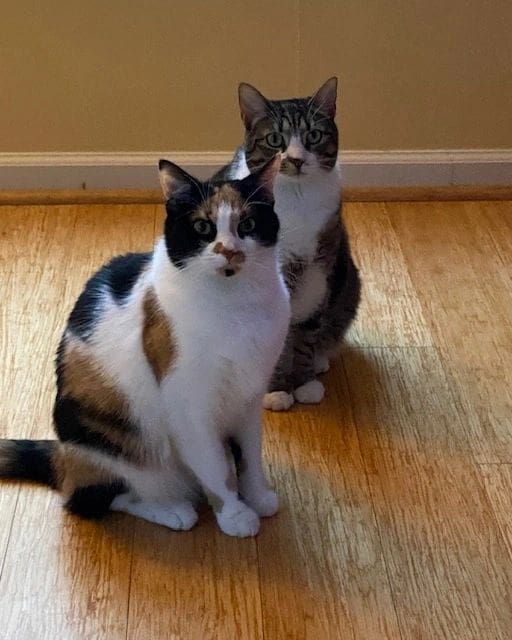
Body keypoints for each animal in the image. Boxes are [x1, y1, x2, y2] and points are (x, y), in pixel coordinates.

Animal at [0, 158, 288, 536]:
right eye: (203, 227)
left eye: (248, 224)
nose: (230, 250)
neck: (236, 306)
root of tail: (61, 456)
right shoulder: (189, 406)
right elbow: (216, 466)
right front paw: (234, 513)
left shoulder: (249, 395)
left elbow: (250, 453)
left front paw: (257, 496)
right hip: (107, 442)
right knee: (95, 500)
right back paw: (173, 510)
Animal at [216, 77, 360, 412]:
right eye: (274, 139)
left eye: (313, 136)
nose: (295, 159)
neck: (295, 199)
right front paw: (278, 389)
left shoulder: (321, 263)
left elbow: (308, 330)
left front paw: (304, 382)